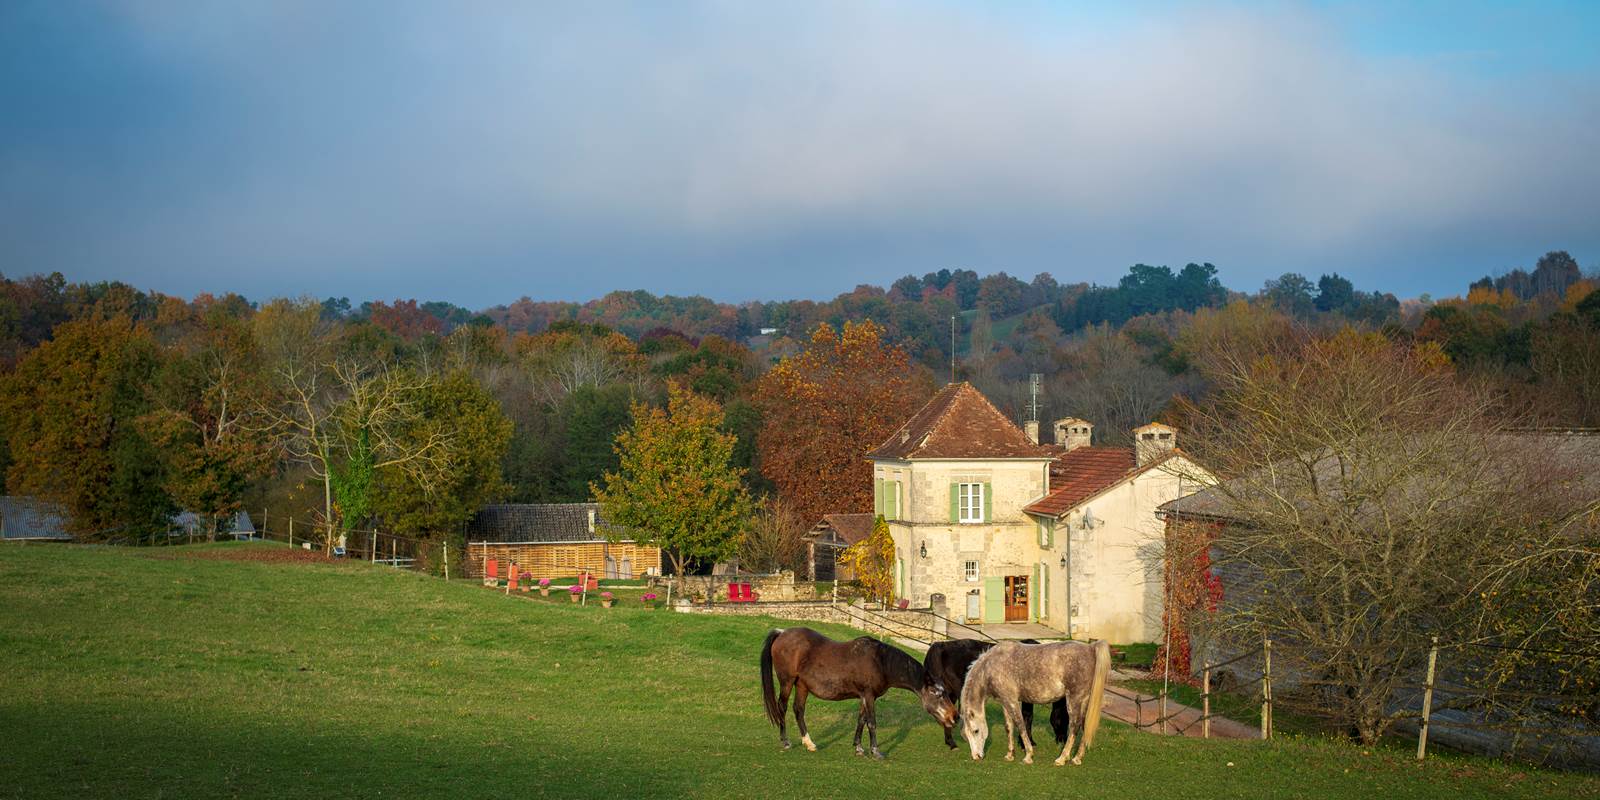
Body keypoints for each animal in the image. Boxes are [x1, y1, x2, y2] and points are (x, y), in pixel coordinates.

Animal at [760, 627, 956, 759]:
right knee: (782, 707)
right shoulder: (868, 695)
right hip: (787, 682)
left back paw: (809, 743)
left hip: (802, 685)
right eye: (938, 694)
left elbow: (861, 720)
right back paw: (785, 741)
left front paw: (858, 747)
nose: (953, 716)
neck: (881, 661)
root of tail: (782, 633)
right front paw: (875, 751)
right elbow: (872, 723)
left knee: (798, 710)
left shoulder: (865, 696)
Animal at [924, 638, 1069, 750]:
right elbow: (1027, 717)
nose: (1063, 740)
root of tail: (941, 645)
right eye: (1065, 718)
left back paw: (951, 743)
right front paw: (1027, 743)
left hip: (950, 693)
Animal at [960, 639, 1110, 766]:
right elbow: (1009, 727)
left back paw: (1062, 758)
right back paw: (1077, 758)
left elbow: (1021, 726)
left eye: (976, 731)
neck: (990, 666)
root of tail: (1091, 648)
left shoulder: (1012, 701)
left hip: (1074, 700)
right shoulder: (1005, 702)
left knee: (1074, 726)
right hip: (1084, 701)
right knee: (1084, 726)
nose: (976, 756)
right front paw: (1010, 755)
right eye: (965, 735)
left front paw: (1028, 756)